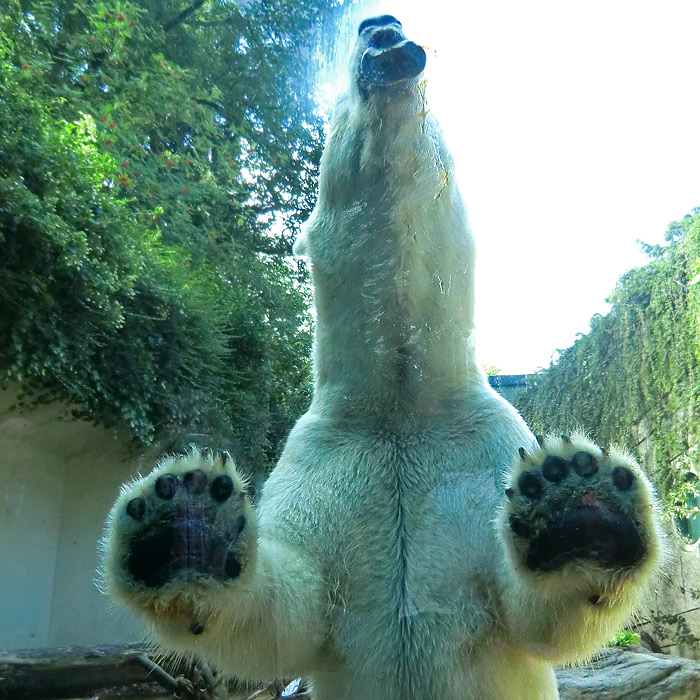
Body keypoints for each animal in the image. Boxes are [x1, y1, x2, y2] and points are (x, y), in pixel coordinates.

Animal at [102, 16, 660, 700]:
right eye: (336, 106)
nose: (383, 28)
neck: (400, 401)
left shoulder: (483, 441)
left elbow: (532, 613)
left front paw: (579, 506)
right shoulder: (328, 454)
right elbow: (288, 613)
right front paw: (184, 523)